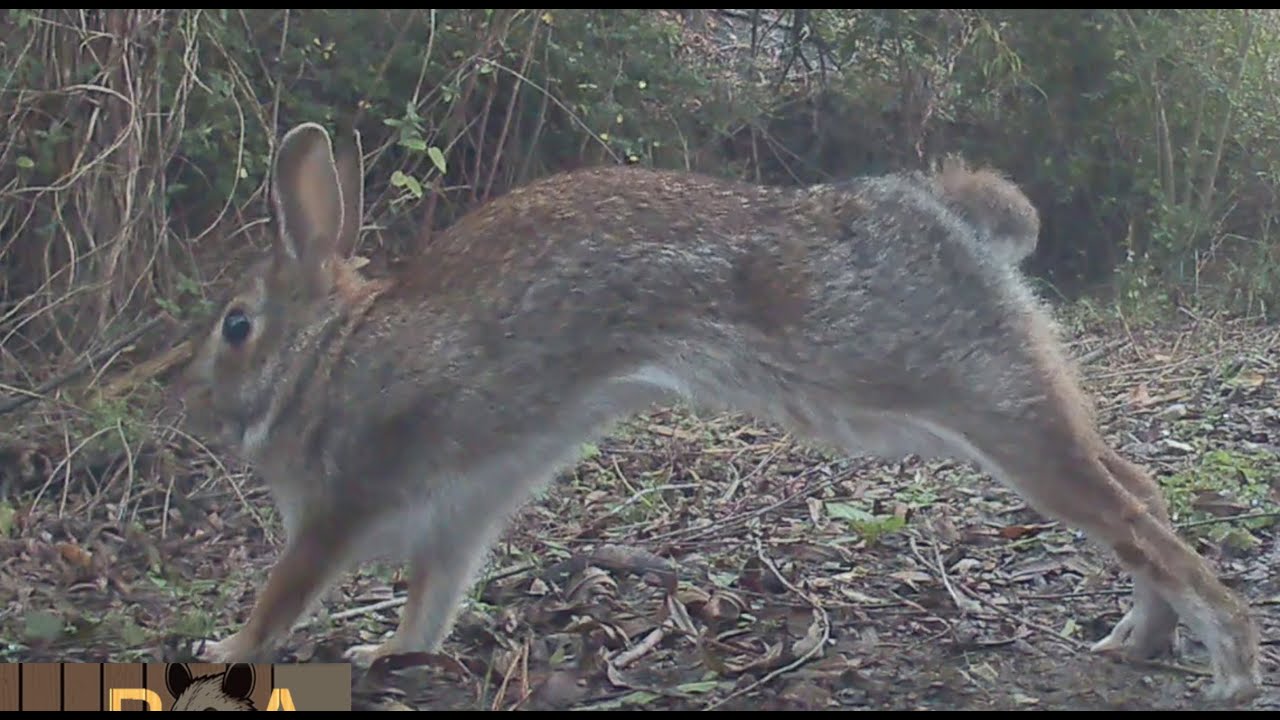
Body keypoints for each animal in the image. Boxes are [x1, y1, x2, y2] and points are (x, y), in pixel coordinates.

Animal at [175, 121, 1259, 705]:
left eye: (235, 326)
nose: (201, 411)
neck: (327, 356)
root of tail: (952, 215)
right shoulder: (458, 519)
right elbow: (428, 603)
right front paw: (387, 653)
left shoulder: (344, 501)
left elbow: (285, 593)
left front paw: (222, 657)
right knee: (1133, 485)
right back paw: (1140, 638)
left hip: (943, 389)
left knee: (1124, 509)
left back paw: (1232, 660)